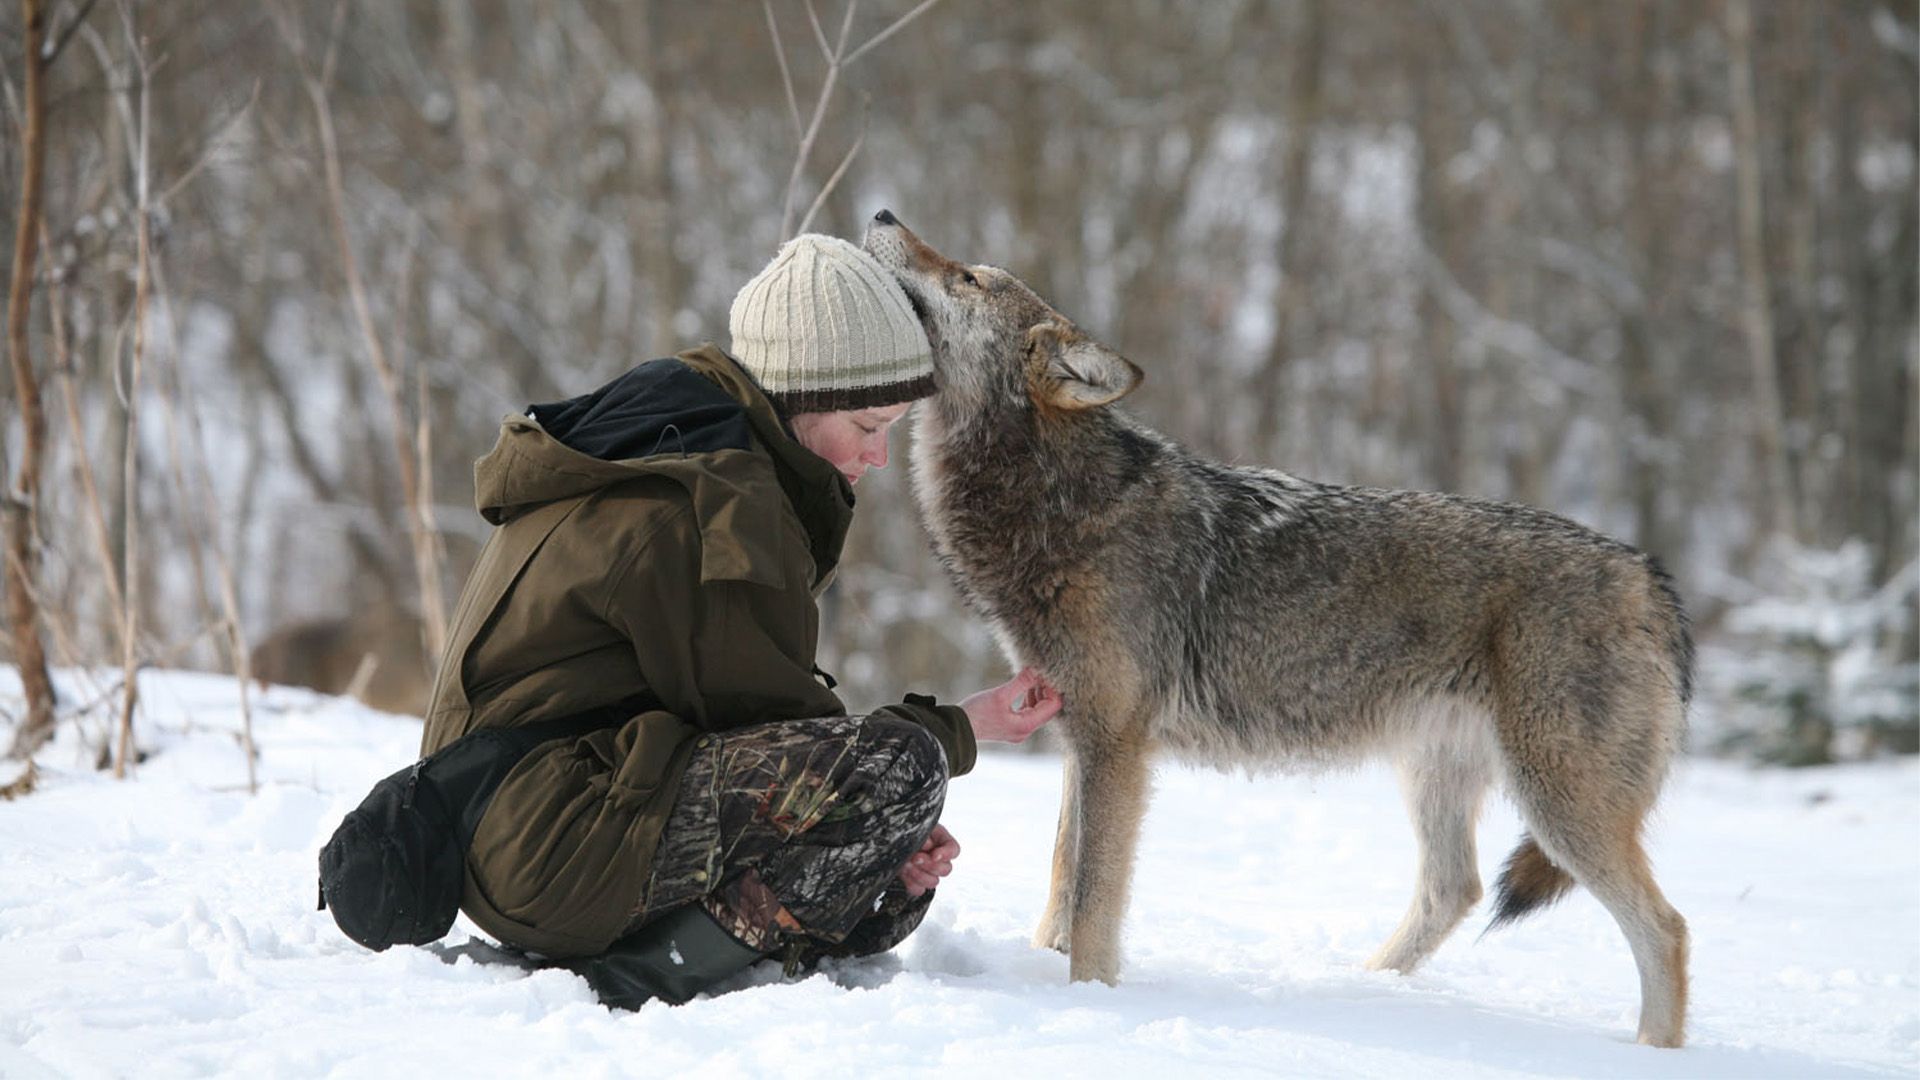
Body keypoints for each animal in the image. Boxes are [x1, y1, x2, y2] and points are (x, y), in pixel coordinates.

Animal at [864, 208, 1689, 1045]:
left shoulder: (1116, 744)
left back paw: (1651, 1051)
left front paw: (1090, 1003)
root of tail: (1649, 576)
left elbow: (1094, 903)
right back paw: (1365, 989)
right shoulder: (1076, 732)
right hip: (1439, 773)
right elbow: (1063, 877)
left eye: (967, 276)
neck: (1058, 502)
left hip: (1557, 804)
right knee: (1454, 888)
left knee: (1665, 928)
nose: (884, 213)